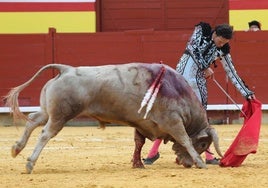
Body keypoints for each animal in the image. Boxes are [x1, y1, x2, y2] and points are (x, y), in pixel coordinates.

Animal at [4, 62, 222, 173]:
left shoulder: (141, 123)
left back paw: (16, 148)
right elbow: (185, 139)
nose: (187, 163)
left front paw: (138, 164)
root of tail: (66, 69)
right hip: (61, 115)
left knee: (33, 119)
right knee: (45, 134)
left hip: (48, 111)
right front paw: (200, 161)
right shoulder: (173, 121)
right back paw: (29, 163)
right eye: (204, 144)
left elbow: (139, 142)